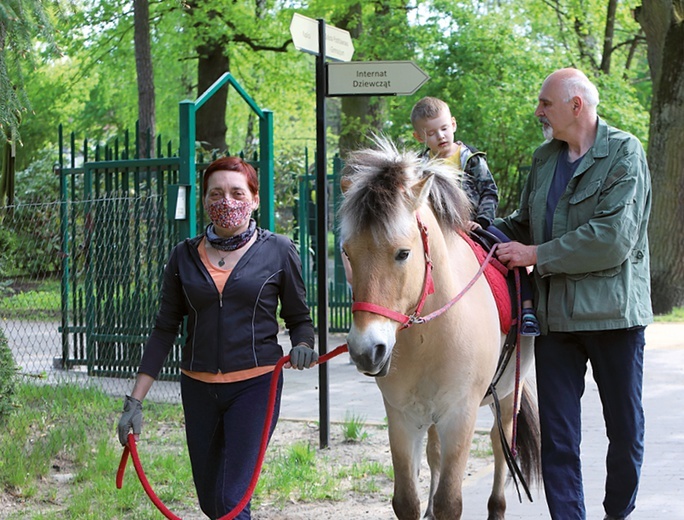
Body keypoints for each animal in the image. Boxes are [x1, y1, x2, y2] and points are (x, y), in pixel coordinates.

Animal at [336, 136, 540, 516]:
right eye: (347, 252)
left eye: (403, 253)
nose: (365, 350)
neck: (428, 334)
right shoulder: (401, 418)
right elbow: (406, 500)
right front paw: (424, 505)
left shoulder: (460, 416)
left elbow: (450, 502)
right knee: (434, 452)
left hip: (508, 394)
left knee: (499, 442)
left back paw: (497, 507)